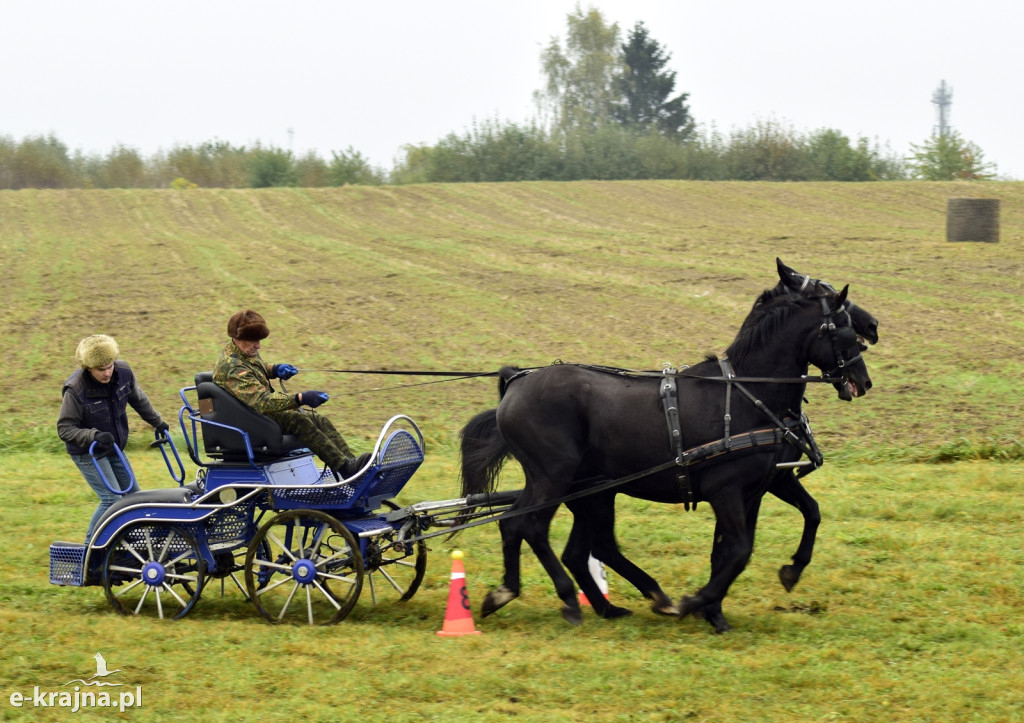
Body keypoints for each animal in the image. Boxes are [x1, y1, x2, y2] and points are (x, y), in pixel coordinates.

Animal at [460, 259, 876, 630]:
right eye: (841, 326)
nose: (863, 378)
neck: (748, 392)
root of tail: (517, 381)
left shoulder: (763, 485)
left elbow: (796, 520)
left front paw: (749, 593)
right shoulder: (726, 489)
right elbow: (739, 550)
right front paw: (698, 603)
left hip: (584, 488)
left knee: (553, 538)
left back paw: (554, 598)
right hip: (554, 477)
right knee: (530, 526)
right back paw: (568, 599)